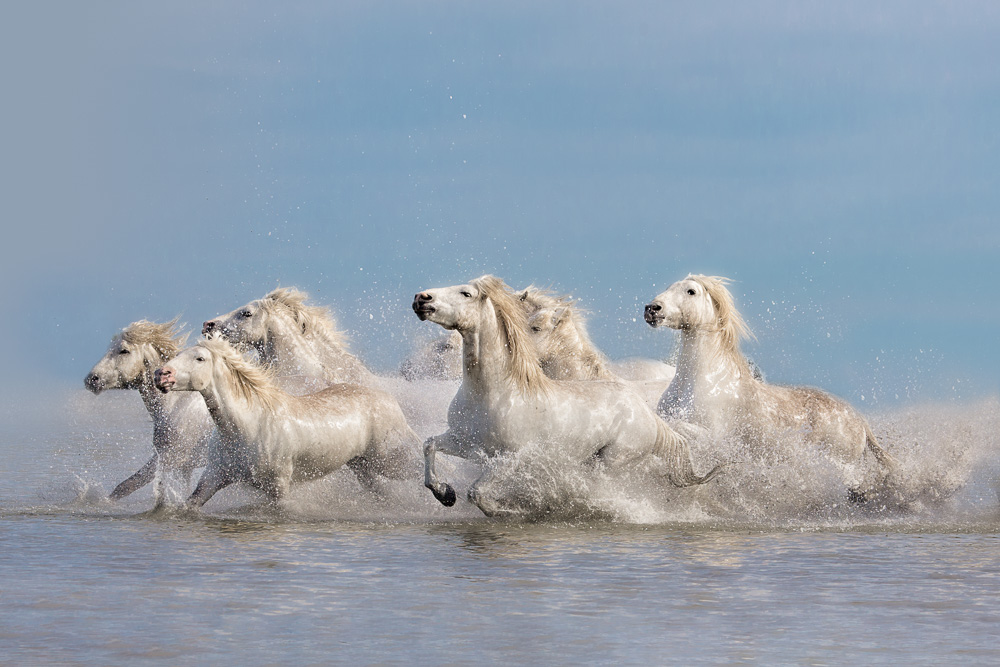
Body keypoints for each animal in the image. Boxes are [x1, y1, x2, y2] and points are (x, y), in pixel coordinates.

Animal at [84, 319, 213, 505]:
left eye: (124, 350)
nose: (91, 379)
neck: (175, 406)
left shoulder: (169, 459)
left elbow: (127, 486)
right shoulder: (184, 467)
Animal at [153, 336, 419, 508]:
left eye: (199, 358)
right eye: (177, 355)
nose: (161, 375)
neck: (247, 427)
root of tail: (388, 399)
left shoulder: (279, 486)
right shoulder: (213, 477)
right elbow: (189, 506)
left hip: (390, 460)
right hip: (362, 465)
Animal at [412, 275, 719, 516]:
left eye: (466, 293)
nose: (421, 298)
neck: (492, 392)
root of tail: (649, 416)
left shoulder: (511, 457)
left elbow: (477, 493)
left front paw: (515, 511)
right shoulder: (466, 442)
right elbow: (429, 445)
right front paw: (444, 494)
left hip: (613, 461)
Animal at [644, 274, 897, 501]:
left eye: (691, 291)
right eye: (669, 287)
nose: (652, 309)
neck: (701, 381)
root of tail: (860, 421)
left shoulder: (713, 438)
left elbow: (677, 428)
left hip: (842, 467)